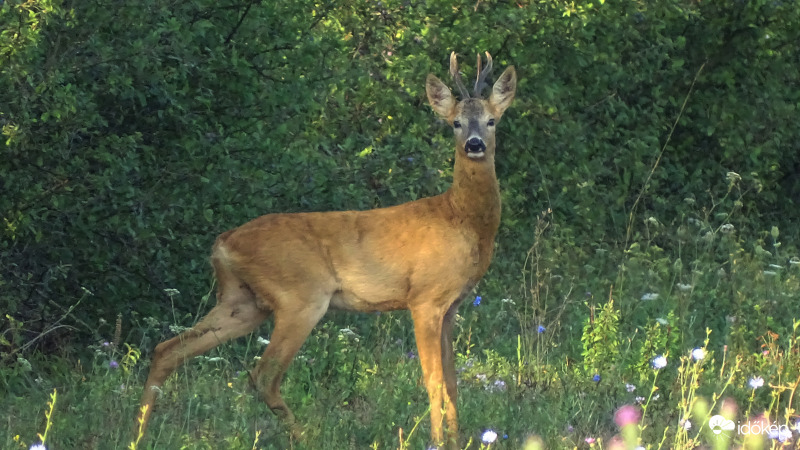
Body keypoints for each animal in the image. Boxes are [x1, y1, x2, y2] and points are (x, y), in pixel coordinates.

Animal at [134, 51, 516, 448]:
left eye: (491, 120)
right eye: (456, 123)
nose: (475, 144)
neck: (461, 219)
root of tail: (223, 243)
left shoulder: (451, 306)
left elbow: (453, 383)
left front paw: (457, 440)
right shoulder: (424, 298)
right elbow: (435, 381)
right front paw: (439, 441)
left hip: (243, 301)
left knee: (168, 349)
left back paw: (139, 432)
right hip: (299, 297)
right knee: (263, 376)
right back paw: (304, 436)